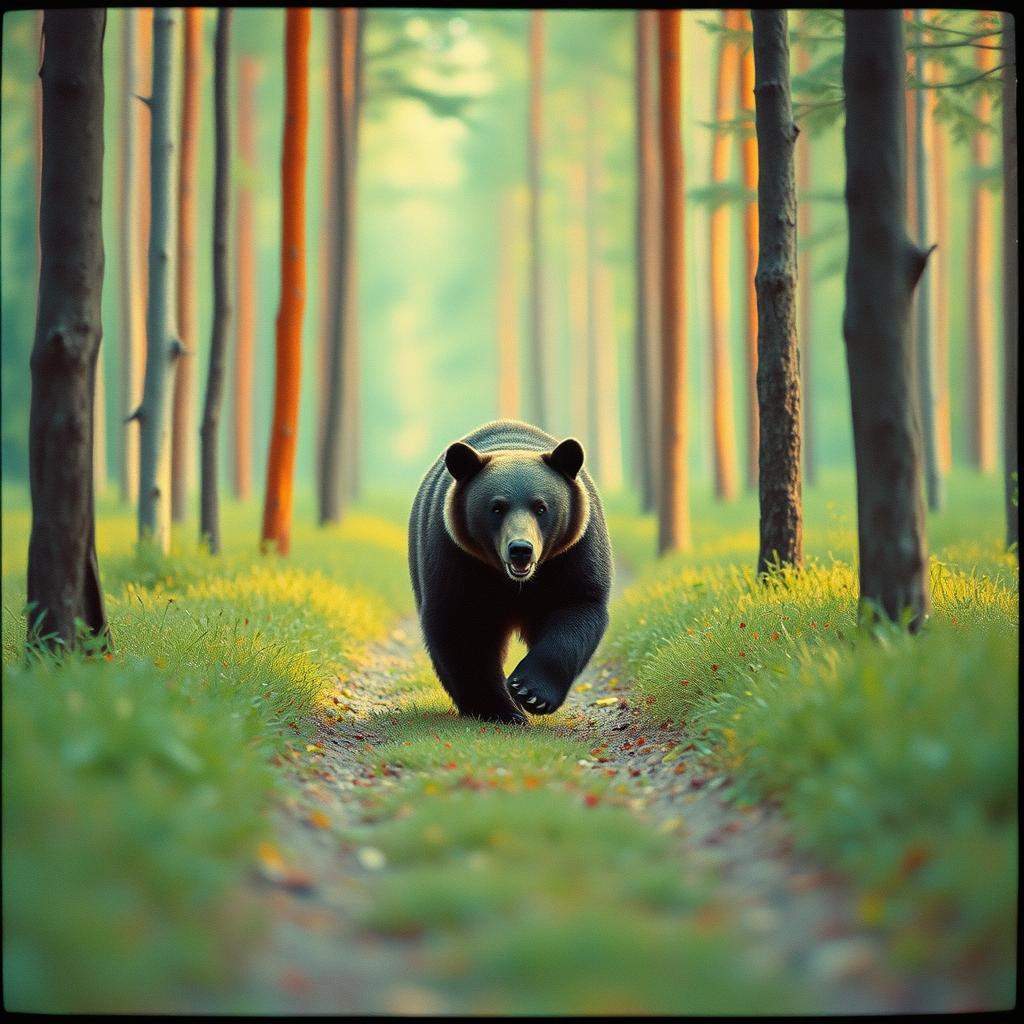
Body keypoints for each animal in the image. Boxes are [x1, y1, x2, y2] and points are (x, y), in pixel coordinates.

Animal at [408, 419, 612, 725]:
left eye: (541, 507)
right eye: (496, 507)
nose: (520, 549)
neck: (515, 582)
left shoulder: (574, 551)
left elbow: (577, 606)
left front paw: (530, 692)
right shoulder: (456, 555)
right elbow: (461, 625)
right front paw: (500, 709)